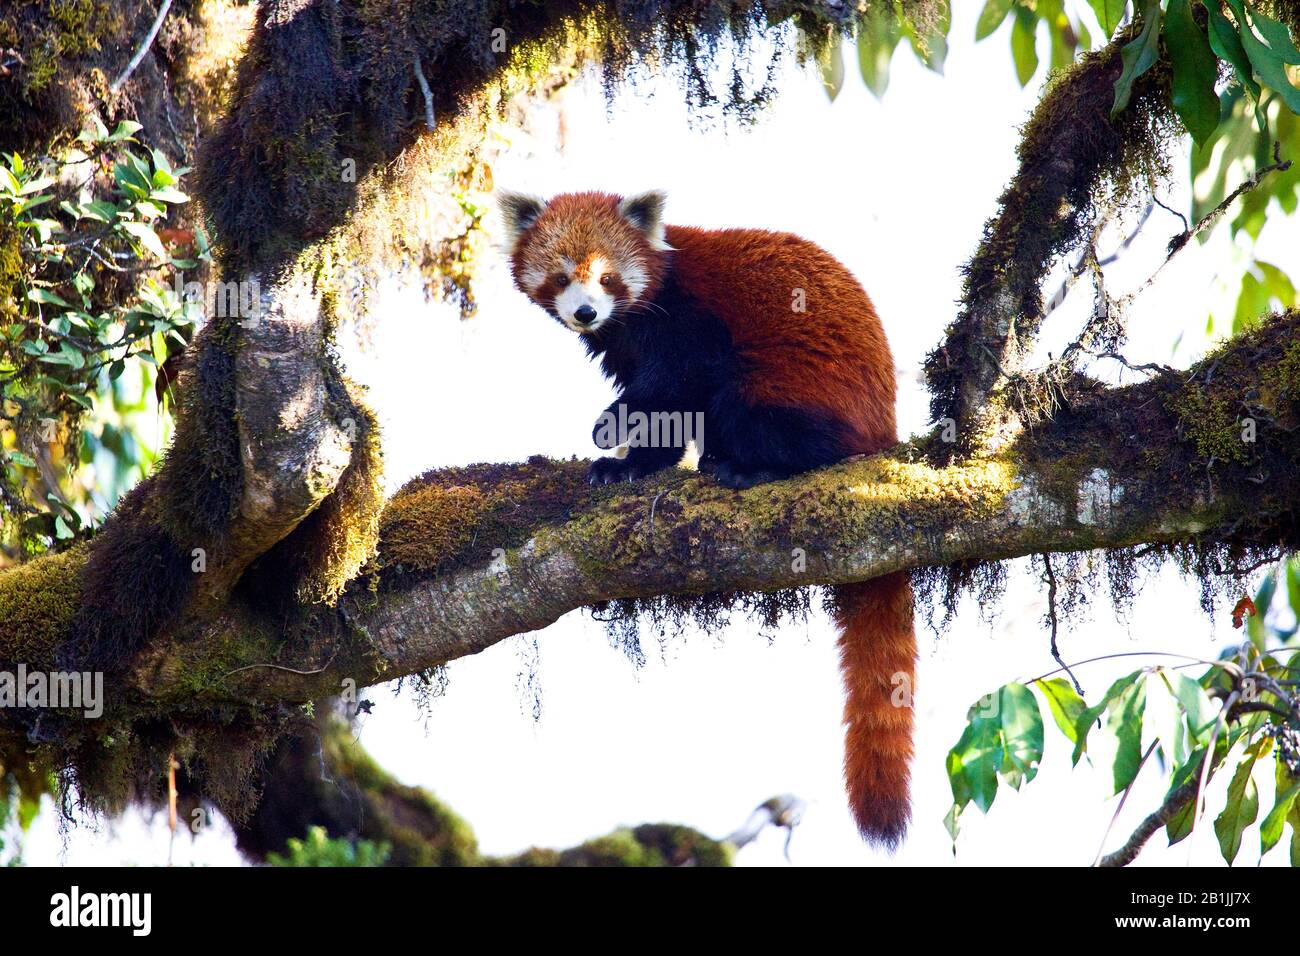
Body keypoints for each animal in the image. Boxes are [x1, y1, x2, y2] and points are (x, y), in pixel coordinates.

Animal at [496, 191, 915, 848]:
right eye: (563, 277)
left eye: (606, 277)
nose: (586, 313)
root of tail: (885, 428)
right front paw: (629, 466)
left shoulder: (688, 322)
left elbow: (675, 386)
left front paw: (614, 435)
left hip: (799, 383)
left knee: (747, 405)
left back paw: (750, 468)